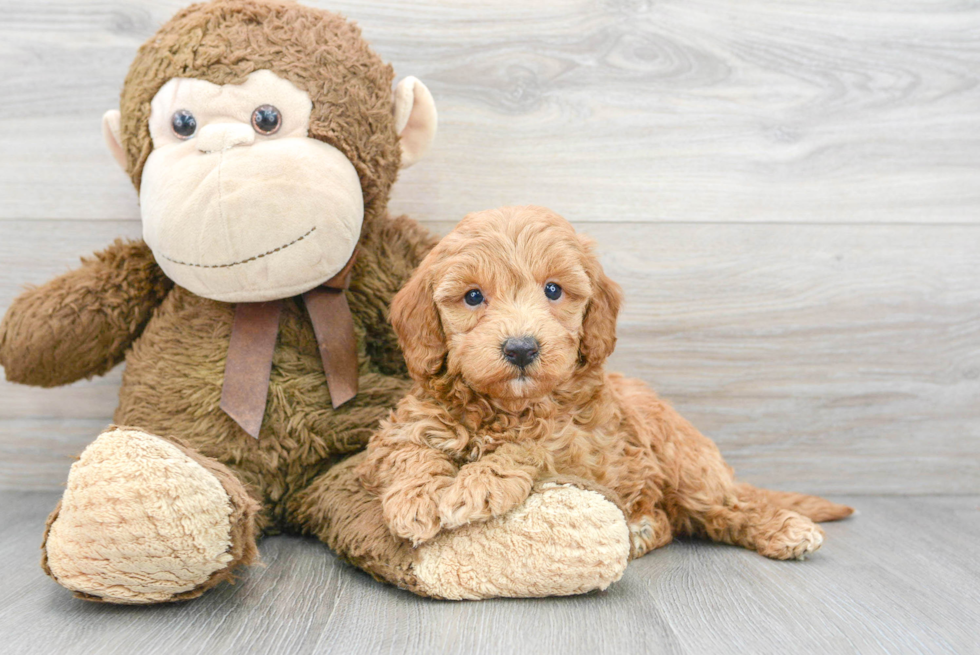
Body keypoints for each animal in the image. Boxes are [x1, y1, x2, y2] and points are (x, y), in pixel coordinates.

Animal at [356, 204, 852, 560]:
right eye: (473, 296)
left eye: (553, 290)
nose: (521, 349)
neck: (511, 408)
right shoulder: (399, 429)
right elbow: (410, 452)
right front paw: (414, 501)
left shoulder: (586, 451)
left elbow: (531, 448)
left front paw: (478, 484)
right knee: (672, 518)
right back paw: (642, 529)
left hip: (684, 458)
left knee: (724, 507)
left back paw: (783, 528)